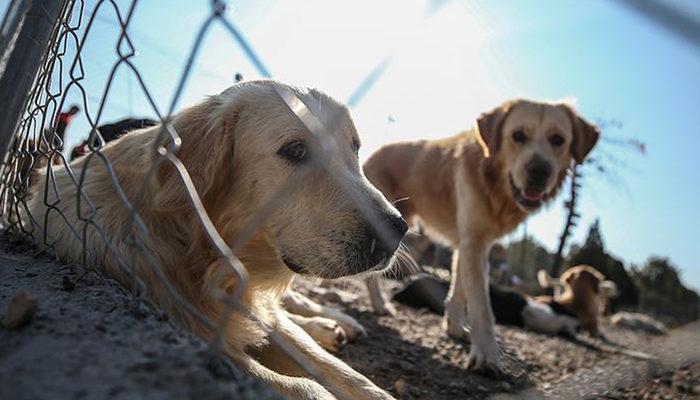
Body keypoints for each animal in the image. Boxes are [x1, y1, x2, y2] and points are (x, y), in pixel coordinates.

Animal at [27, 79, 408, 400]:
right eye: (296, 150)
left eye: (355, 148)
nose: (397, 230)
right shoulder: (194, 332)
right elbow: (304, 387)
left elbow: (347, 376)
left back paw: (335, 322)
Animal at [364, 99, 600, 372]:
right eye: (518, 136)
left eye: (558, 140)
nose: (539, 172)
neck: (494, 182)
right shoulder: (473, 244)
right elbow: (482, 305)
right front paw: (487, 355)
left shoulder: (470, 244)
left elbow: (459, 290)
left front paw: (455, 329)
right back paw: (380, 305)